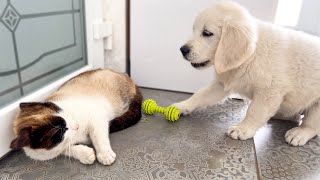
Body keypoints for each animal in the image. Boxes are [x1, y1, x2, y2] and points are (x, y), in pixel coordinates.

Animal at [10, 69, 142, 165]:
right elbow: (68, 150)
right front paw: (86, 155)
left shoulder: (96, 117)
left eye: (64, 114)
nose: (76, 126)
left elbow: (98, 137)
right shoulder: (55, 150)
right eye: (61, 131)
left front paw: (104, 155)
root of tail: (125, 75)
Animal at [174, 1, 320, 146]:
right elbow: (200, 94)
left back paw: (299, 133)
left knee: (311, 124)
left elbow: (254, 110)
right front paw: (183, 105)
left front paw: (242, 129)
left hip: (317, 105)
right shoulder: (222, 83)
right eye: (194, 30)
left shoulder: (268, 91)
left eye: (207, 33)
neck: (251, 56)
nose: (182, 50)